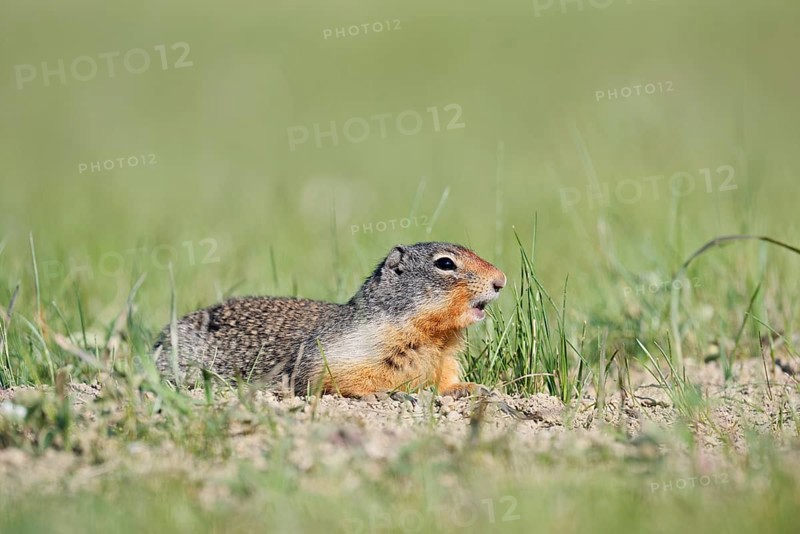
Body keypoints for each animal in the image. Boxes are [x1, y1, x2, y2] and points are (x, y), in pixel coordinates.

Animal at [152, 242, 506, 398]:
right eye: (445, 263)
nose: (501, 280)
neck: (434, 338)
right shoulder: (344, 349)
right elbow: (332, 378)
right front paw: (385, 393)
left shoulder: (444, 360)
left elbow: (446, 381)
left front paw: (474, 388)